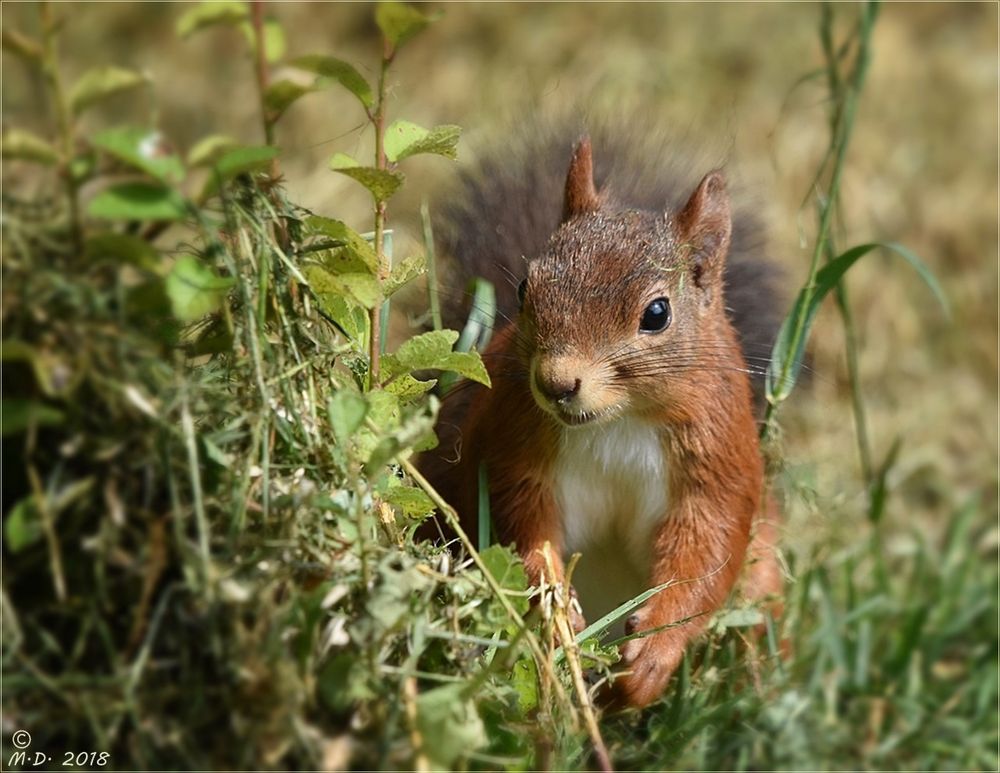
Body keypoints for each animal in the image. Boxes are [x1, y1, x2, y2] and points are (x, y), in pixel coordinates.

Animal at [418, 131, 784, 704]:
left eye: (657, 313)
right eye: (524, 288)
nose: (556, 383)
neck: (618, 420)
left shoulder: (717, 453)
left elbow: (708, 549)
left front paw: (654, 653)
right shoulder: (510, 438)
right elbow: (515, 521)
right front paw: (552, 605)